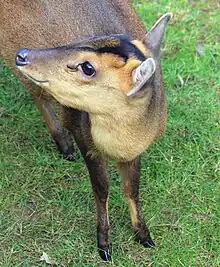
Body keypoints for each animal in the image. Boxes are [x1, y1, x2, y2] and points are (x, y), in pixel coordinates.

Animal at [0, 0, 172, 262]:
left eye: (88, 67)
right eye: (91, 37)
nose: (23, 54)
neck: (122, 143)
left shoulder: (136, 151)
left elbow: (132, 188)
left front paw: (144, 236)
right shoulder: (85, 138)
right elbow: (102, 188)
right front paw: (104, 245)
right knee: (38, 95)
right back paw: (64, 146)